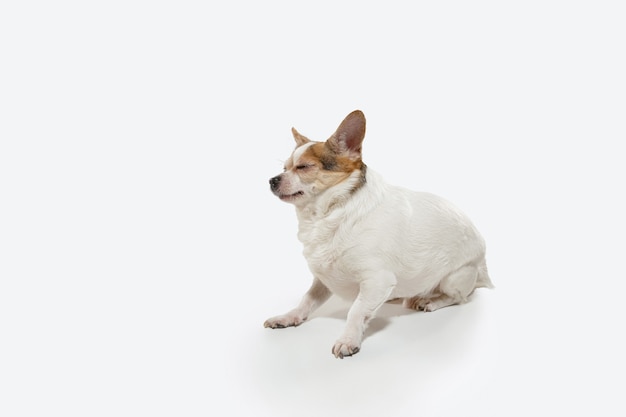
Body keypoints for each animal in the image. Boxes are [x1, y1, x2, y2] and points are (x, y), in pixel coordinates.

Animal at [260, 110, 490, 358]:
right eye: (284, 169)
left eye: (303, 167)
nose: (272, 180)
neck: (326, 215)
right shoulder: (323, 278)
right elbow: (307, 301)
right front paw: (289, 317)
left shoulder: (377, 279)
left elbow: (356, 310)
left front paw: (348, 339)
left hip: (454, 277)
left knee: (460, 297)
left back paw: (430, 301)